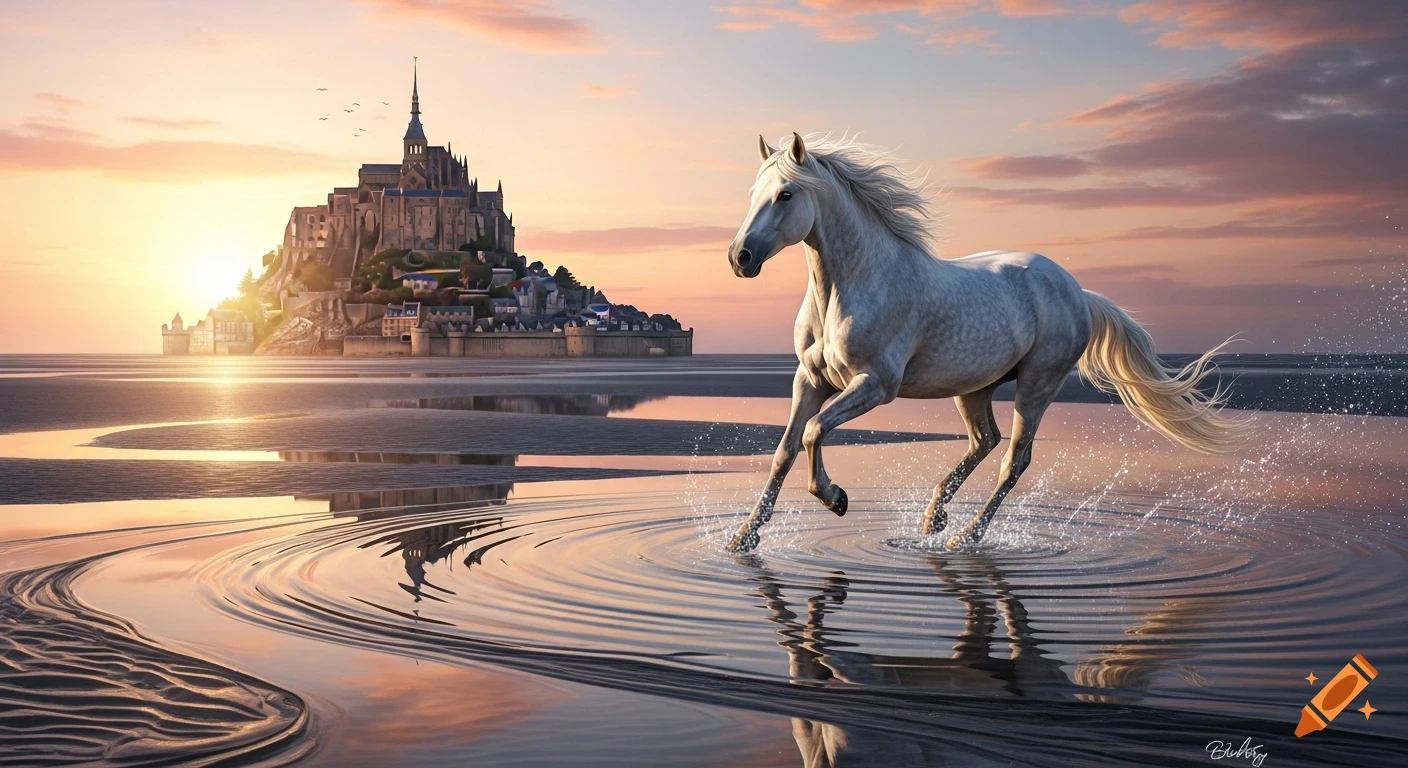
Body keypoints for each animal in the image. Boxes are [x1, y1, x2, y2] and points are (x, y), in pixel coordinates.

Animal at [725, 133, 1245, 553]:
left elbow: (814, 432)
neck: (850, 288)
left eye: (786, 193)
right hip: (973, 387)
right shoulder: (810, 379)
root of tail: (1079, 292)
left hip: (1037, 384)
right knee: (985, 439)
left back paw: (964, 535)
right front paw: (743, 539)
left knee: (1014, 459)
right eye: (751, 194)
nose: (739, 257)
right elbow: (785, 450)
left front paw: (836, 499)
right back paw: (933, 520)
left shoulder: (876, 385)